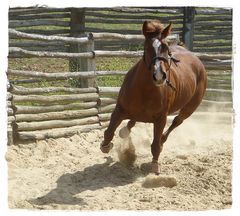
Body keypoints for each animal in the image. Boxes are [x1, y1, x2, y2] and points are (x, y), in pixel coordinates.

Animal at [99, 20, 206, 174]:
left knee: (176, 122)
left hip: (190, 108)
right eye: (148, 47)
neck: (145, 89)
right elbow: (109, 132)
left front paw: (155, 164)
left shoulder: (161, 118)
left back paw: (162, 139)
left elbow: (155, 145)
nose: (159, 76)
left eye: (166, 47)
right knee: (132, 122)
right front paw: (106, 146)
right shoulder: (120, 109)